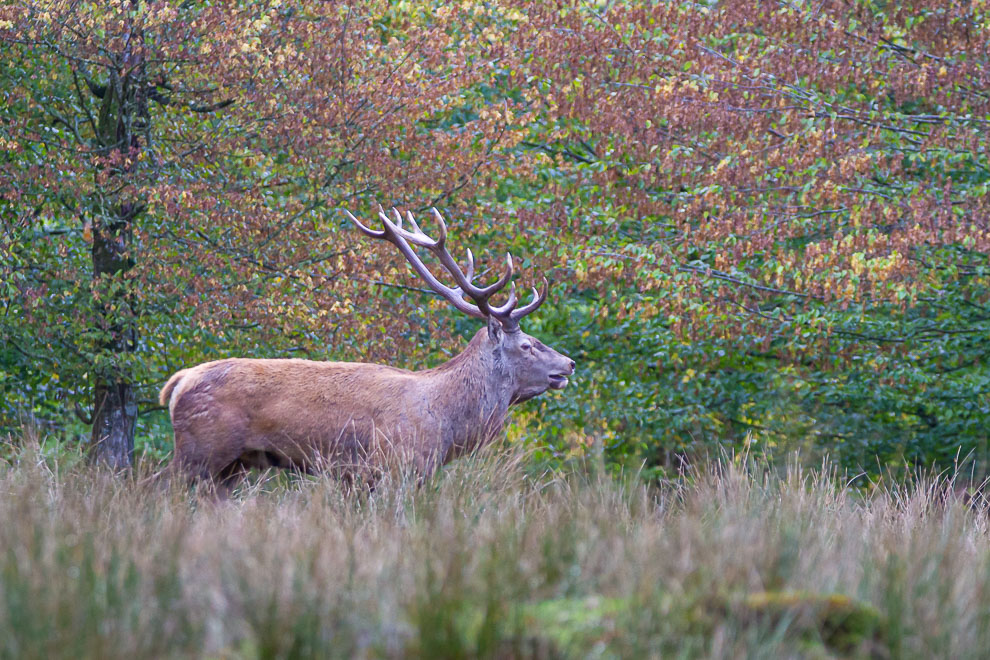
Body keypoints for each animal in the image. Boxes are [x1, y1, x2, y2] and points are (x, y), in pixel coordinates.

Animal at [159, 206, 576, 490]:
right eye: (528, 345)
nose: (569, 363)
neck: (446, 423)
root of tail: (177, 384)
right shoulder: (395, 464)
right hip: (199, 451)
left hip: (232, 467)